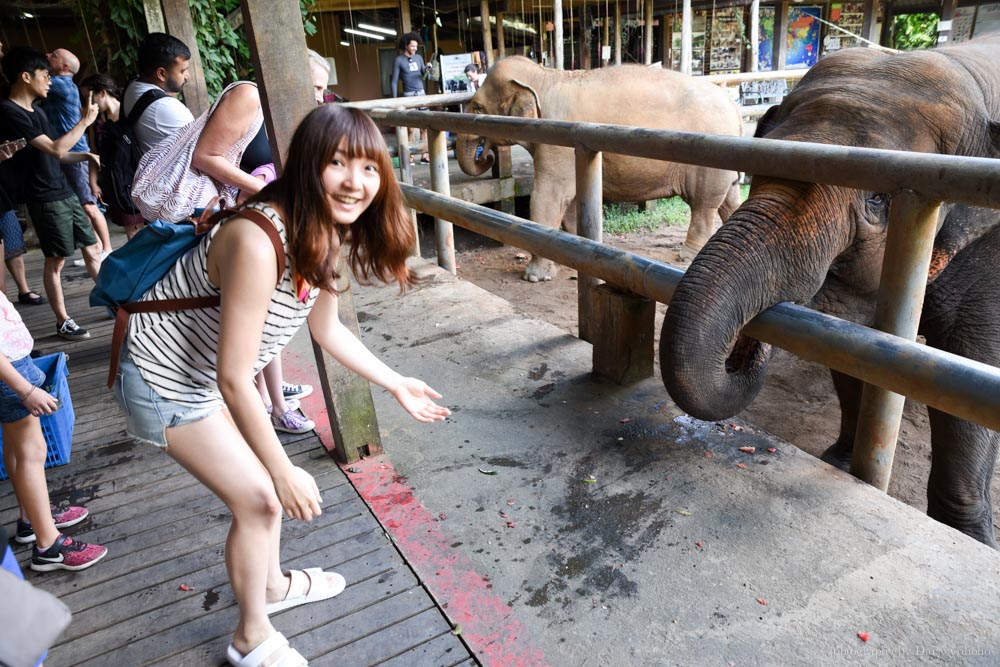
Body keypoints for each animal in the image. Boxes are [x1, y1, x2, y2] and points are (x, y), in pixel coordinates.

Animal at [458, 54, 748, 280]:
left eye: (478, 107)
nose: (488, 156)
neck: (545, 77)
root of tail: (734, 107)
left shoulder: (556, 141)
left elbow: (547, 196)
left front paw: (534, 276)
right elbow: (571, 199)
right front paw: (579, 249)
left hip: (710, 162)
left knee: (704, 205)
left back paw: (686, 256)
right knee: (730, 200)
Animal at [656, 36, 1000, 544]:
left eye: (878, 198)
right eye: (757, 165)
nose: (742, 353)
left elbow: (970, 363)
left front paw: (967, 534)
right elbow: (854, 348)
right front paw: (840, 464)